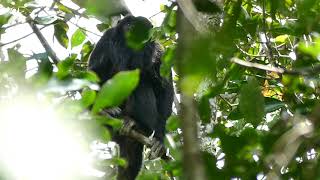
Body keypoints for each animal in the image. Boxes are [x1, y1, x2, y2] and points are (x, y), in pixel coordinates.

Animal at [87, 15, 174, 180]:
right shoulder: (107, 37)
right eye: (129, 26)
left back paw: (137, 124)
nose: (134, 33)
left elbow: (165, 89)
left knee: (142, 83)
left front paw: (159, 139)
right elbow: (94, 72)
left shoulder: (158, 50)